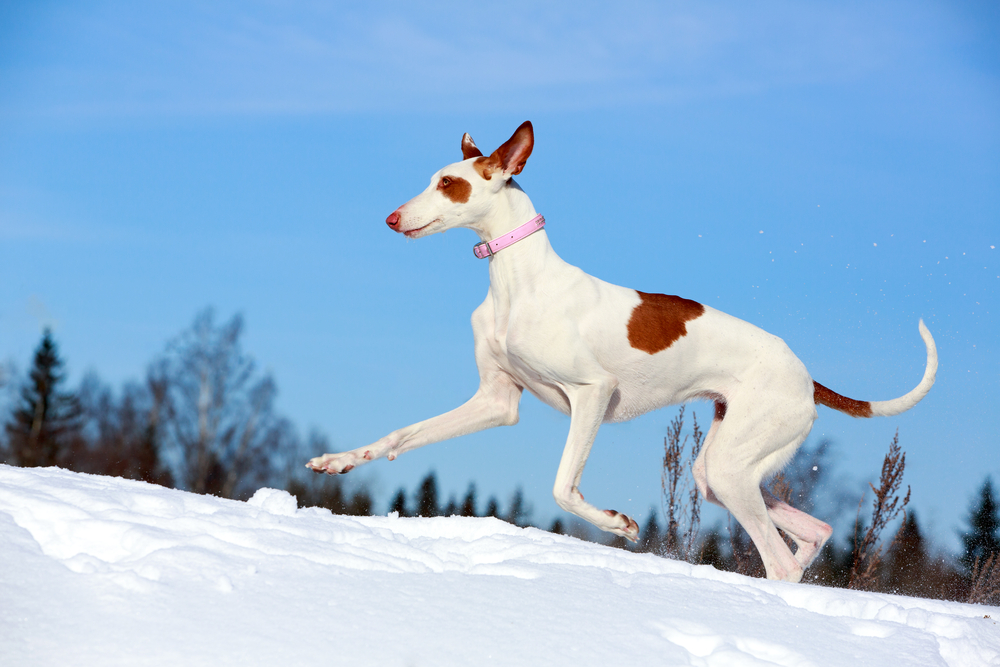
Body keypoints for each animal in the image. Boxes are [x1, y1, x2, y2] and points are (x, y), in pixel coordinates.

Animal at [306, 122, 936, 580]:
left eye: (448, 184)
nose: (391, 218)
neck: (518, 280)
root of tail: (807, 377)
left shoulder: (592, 394)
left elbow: (563, 486)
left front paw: (619, 524)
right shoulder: (496, 402)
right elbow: (403, 434)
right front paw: (340, 460)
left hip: (734, 467)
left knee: (780, 562)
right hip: (723, 469)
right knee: (815, 533)